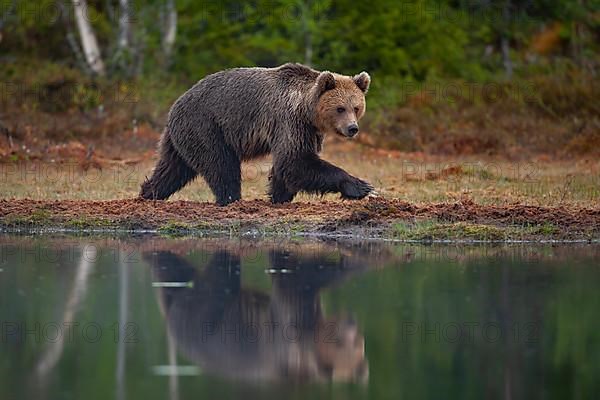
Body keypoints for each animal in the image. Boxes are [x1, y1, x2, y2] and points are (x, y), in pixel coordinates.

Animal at [141, 63, 372, 206]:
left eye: (356, 107)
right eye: (340, 108)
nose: (352, 128)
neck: (307, 110)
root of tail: (175, 105)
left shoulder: (308, 131)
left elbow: (287, 166)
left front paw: (279, 196)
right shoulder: (289, 120)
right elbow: (295, 160)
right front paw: (361, 186)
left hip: (180, 136)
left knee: (172, 168)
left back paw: (149, 193)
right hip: (206, 126)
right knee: (221, 164)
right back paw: (231, 199)